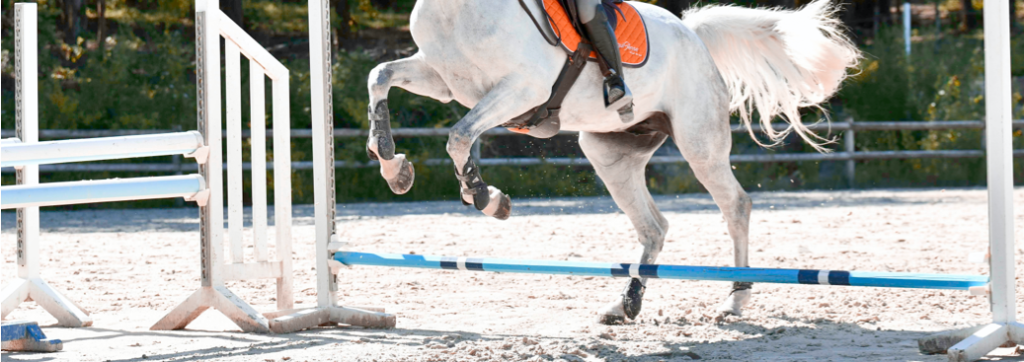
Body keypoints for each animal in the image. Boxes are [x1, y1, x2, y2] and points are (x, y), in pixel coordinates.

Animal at [364, 0, 860, 323]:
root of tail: (692, 33)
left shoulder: (521, 88)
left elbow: (459, 136)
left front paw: (486, 196)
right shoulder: (445, 81)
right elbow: (380, 76)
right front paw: (393, 165)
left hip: (700, 142)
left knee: (735, 206)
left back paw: (735, 299)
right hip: (610, 153)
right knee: (654, 227)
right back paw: (627, 303)